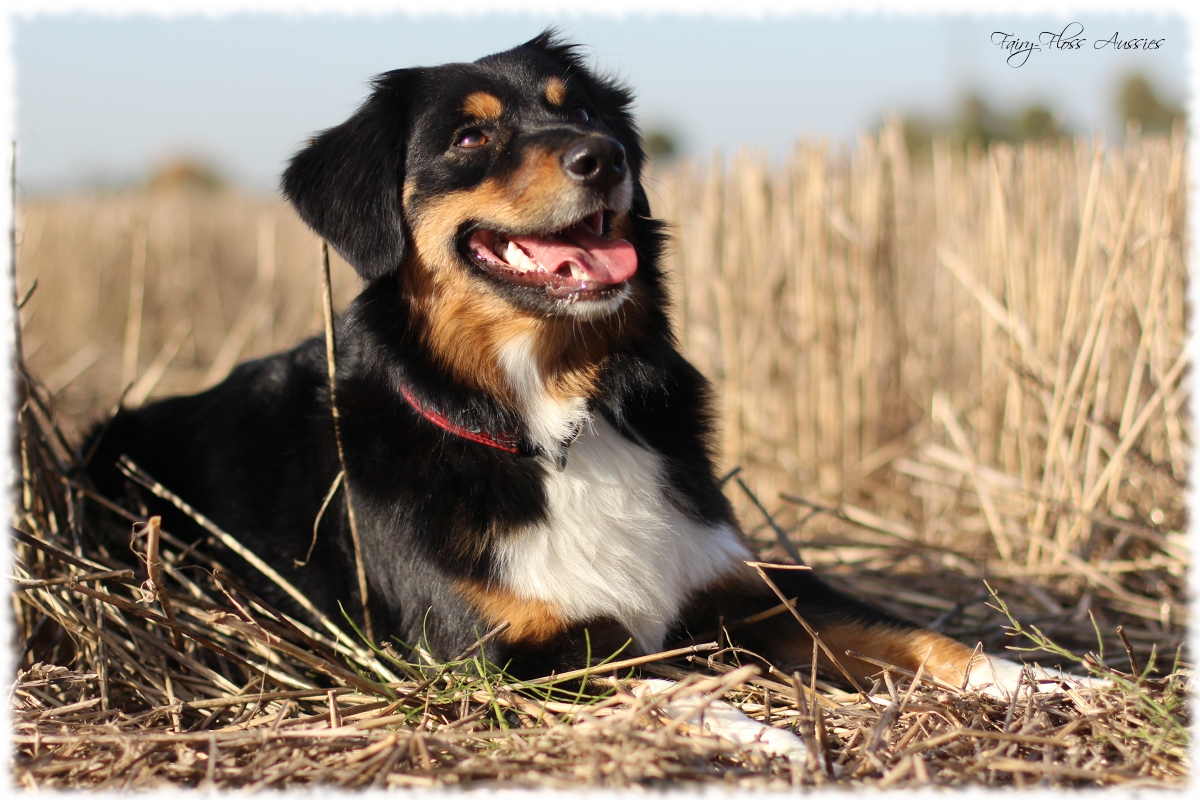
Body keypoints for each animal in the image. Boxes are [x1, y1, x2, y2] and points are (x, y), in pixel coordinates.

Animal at [87, 31, 1041, 695]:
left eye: (579, 113)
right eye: (470, 137)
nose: (604, 158)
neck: (555, 414)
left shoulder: (745, 586)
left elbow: (917, 637)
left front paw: (1047, 679)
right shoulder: (511, 648)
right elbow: (670, 681)